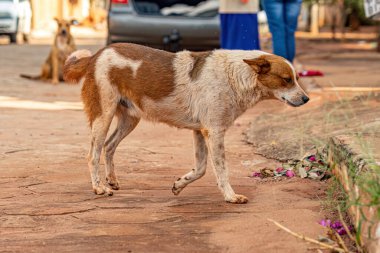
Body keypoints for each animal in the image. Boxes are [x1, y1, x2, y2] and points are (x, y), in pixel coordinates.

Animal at [63, 43, 310, 205]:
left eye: (296, 78)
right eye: (287, 79)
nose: (306, 99)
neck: (237, 75)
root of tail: (96, 55)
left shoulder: (200, 131)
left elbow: (200, 169)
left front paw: (180, 184)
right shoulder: (214, 132)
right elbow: (221, 170)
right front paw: (230, 196)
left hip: (130, 118)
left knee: (109, 146)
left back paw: (112, 180)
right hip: (103, 115)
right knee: (93, 154)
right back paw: (99, 187)